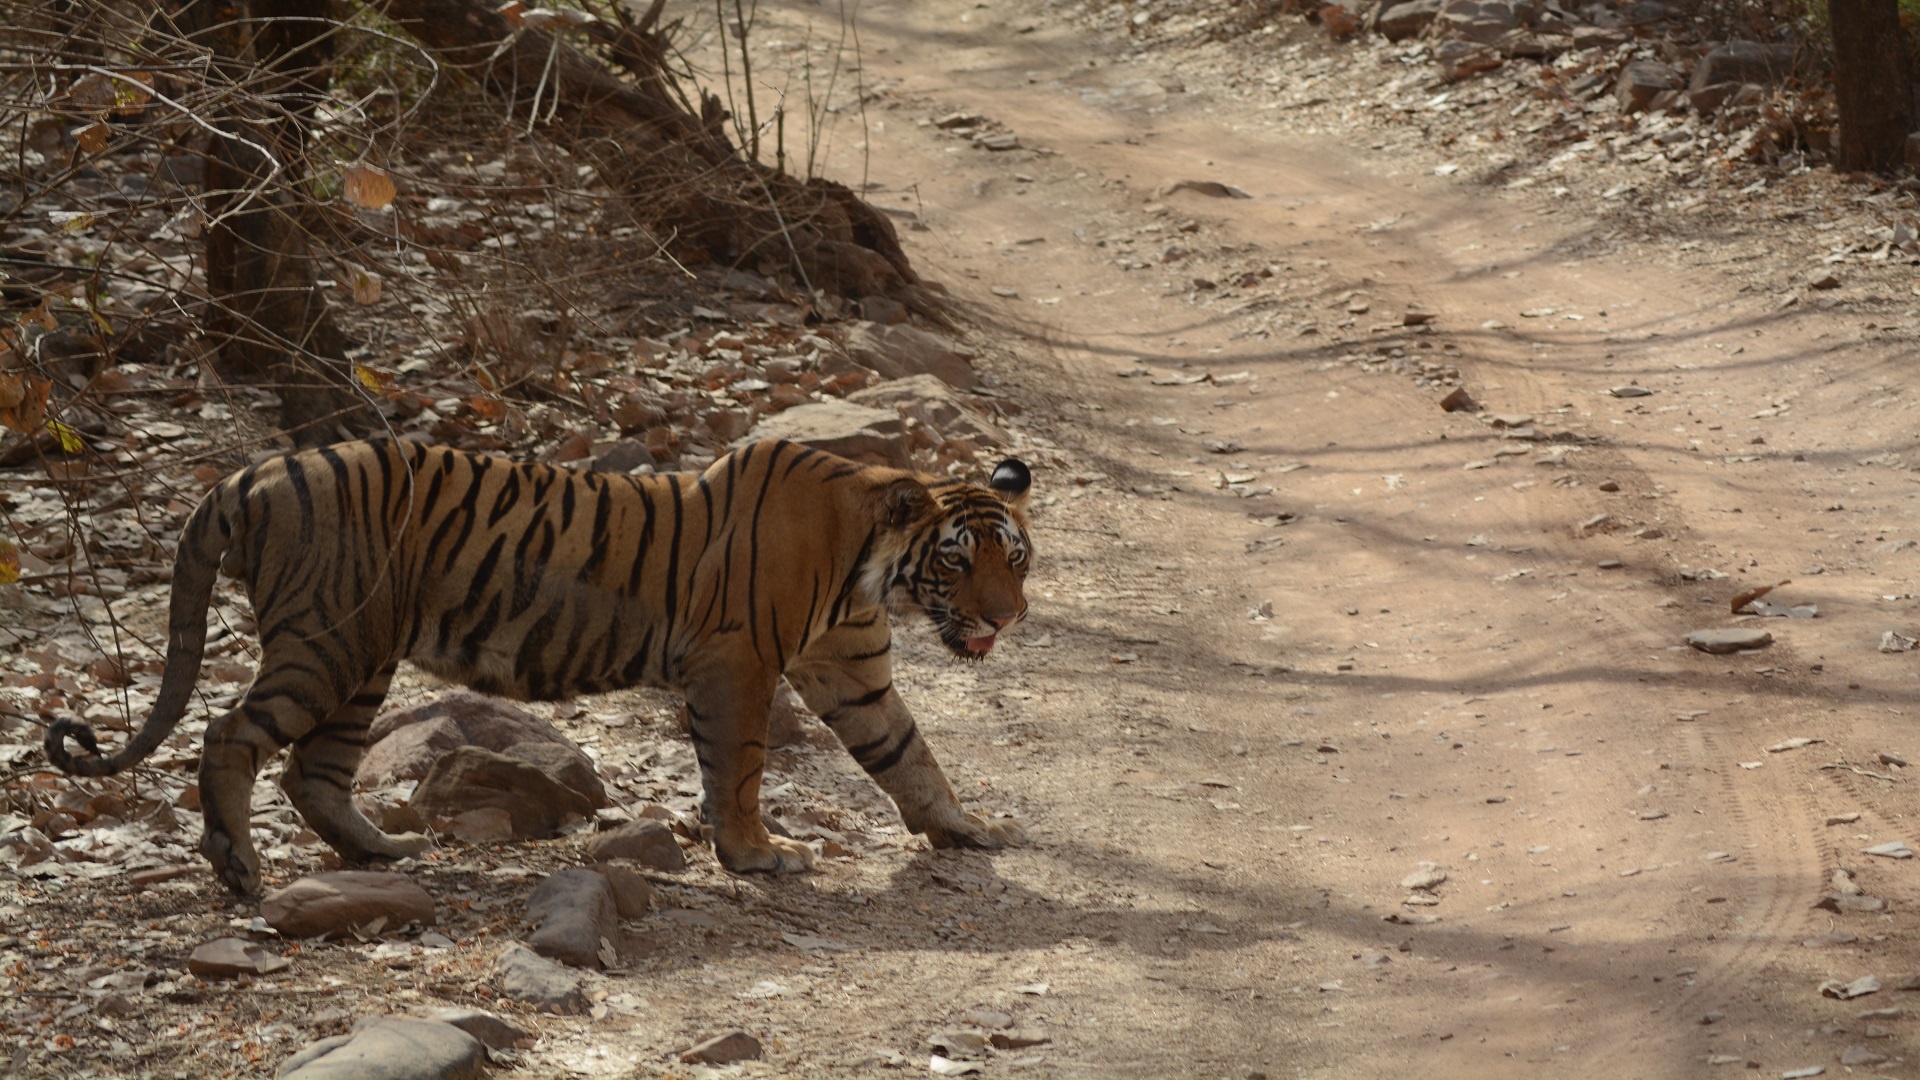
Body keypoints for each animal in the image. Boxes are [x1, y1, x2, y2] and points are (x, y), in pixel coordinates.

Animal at [48, 432, 1036, 887]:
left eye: (1015, 558)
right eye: (959, 560)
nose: (1008, 617)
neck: (874, 570)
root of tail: (247, 473)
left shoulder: (852, 671)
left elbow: (909, 754)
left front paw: (968, 829)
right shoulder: (739, 664)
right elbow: (742, 771)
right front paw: (758, 854)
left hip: (363, 658)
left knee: (312, 771)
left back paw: (382, 850)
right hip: (326, 642)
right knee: (228, 734)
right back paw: (239, 866)